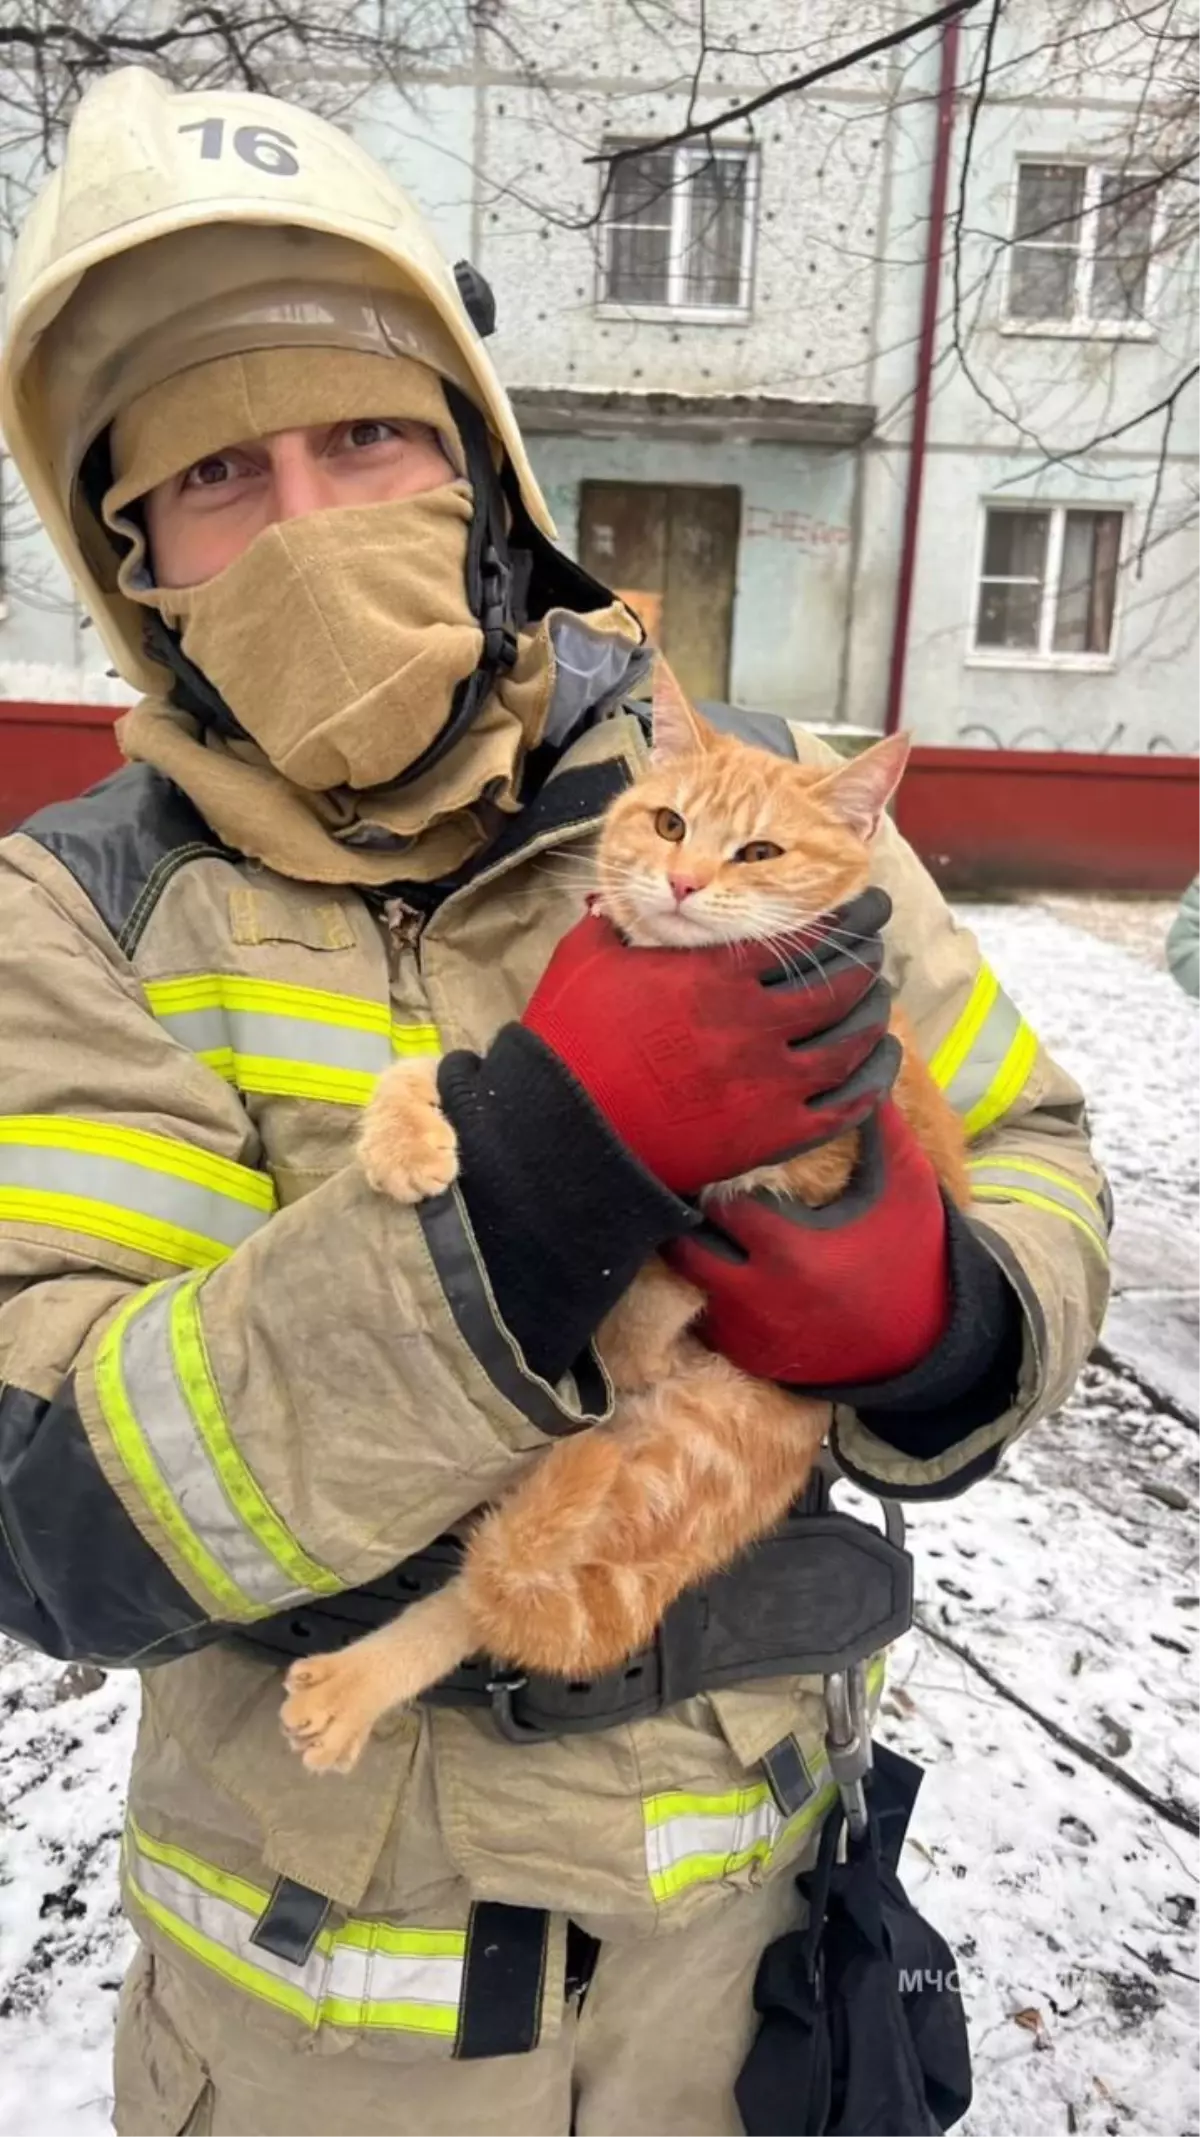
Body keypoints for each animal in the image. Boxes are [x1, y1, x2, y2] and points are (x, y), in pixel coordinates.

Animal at [279, 675, 960, 1777]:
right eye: (671, 822)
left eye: (759, 851)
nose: (682, 881)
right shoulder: (546, 1067)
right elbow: (443, 1071)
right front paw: (404, 1138)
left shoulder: (808, 1169)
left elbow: (683, 1235)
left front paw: (636, 1325)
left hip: (666, 1468)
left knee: (493, 1594)